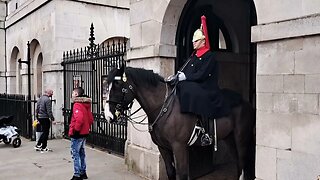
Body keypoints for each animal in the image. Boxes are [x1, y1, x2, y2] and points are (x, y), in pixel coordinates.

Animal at [105, 66, 255, 180]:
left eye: (118, 86)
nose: (108, 116)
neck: (163, 106)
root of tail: (246, 102)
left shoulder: (179, 147)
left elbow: (181, 174)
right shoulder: (163, 147)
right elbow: (170, 171)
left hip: (241, 138)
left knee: (242, 162)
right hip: (230, 139)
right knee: (238, 163)